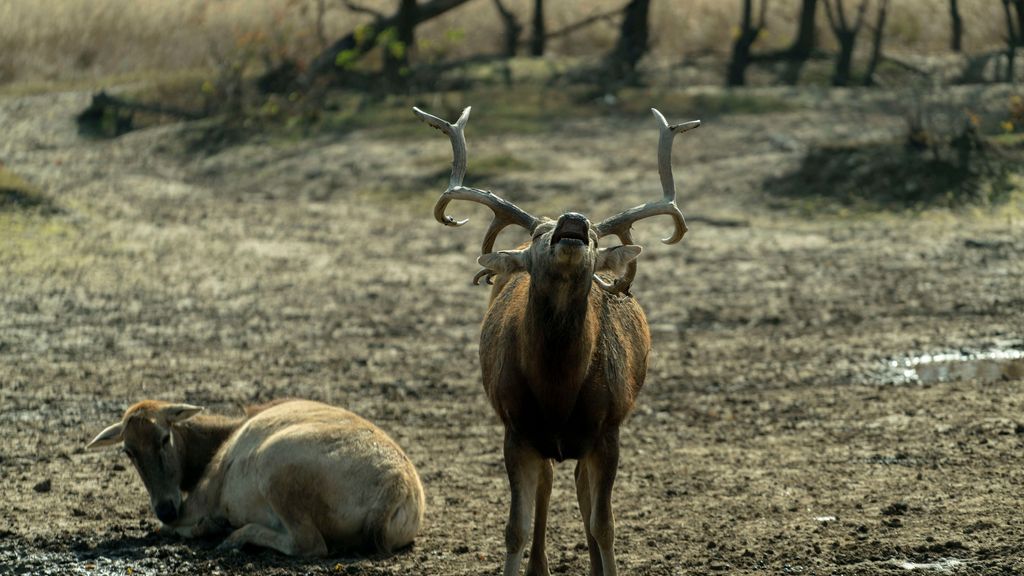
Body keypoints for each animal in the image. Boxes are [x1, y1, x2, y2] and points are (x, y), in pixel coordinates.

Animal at [86, 397, 425, 553]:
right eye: (128, 451)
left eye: (164, 437)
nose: (166, 508)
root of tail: (397, 485)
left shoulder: (202, 498)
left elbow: (172, 528)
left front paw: (209, 525)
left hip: (276, 471)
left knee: (309, 544)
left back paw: (233, 535)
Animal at [413, 106, 696, 573]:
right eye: (539, 234)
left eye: (596, 237)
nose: (573, 221)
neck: (558, 389)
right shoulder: (515, 427)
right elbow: (515, 528)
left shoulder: (608, 428)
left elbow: (604, 525)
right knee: (548, 484)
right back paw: (540, 566)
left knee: (581, 489)